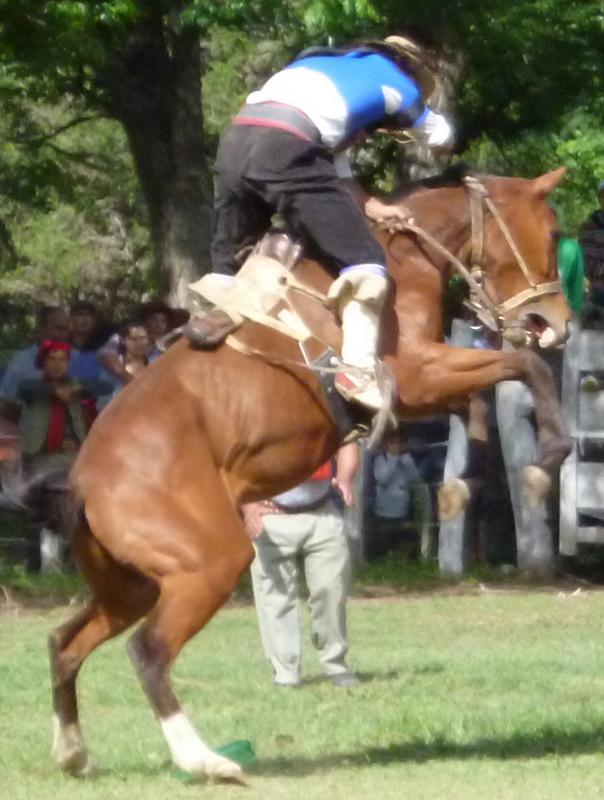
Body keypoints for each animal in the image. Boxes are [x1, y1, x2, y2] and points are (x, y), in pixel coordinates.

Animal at [46, 167, 568, 780]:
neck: (408, 249)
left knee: (65, 642)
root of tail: (84, 481)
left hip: (131, 585)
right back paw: (206, 760)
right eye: (554, 235)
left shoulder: (425, 389)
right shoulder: (416, 374)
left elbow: (479, 407)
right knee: (148, 651)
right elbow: (524, 367)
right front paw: (545, 465)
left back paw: (74, 752)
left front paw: (463, 488)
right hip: (208, 564)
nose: (557, 323)